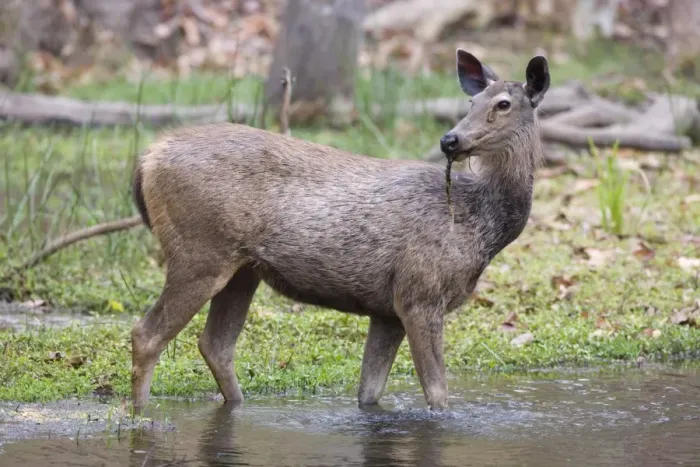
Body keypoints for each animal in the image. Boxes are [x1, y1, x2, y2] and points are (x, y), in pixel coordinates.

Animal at [130, 49, 550, 412]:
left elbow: (369, 394)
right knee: (147, 335)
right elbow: (437, 395)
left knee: (215, 345)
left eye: (503, 104)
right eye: (472, 103)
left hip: (243, 269)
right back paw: (140, 415)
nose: (450, 139)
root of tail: (148, 157)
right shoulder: (420, 292)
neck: (482, 229)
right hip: (199, 251)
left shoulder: (387, 310)